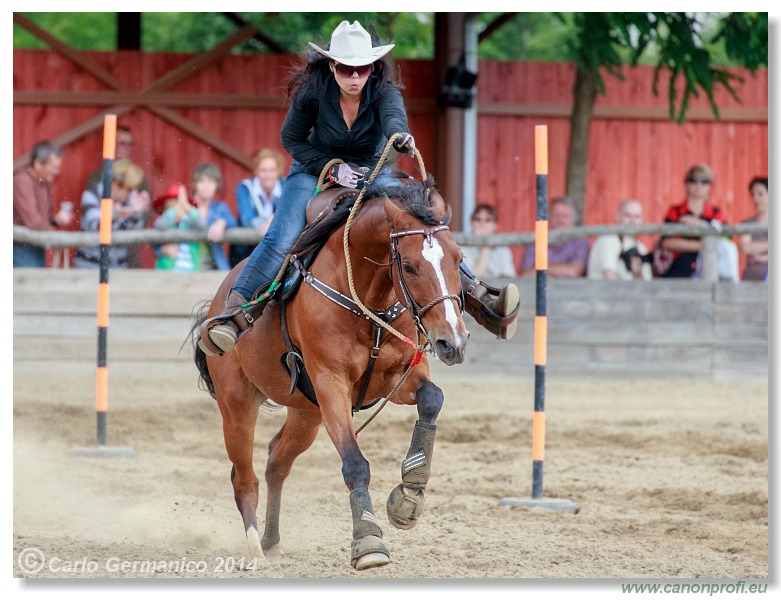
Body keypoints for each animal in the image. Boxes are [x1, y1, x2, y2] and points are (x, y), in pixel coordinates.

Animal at [190, 175, 470, 572]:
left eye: (459, 259)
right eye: (410, 265)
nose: (452, 341)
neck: (368, 301)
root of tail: (217, 305)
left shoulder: (398, 376)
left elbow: (432, 397)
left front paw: (410, 493)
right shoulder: (331, 384)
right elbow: (355, 464)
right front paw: (368, 542)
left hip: (306, 414)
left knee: (276, 461)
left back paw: (271, 540)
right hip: (237, 406)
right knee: (244, 478)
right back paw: (255, 549)